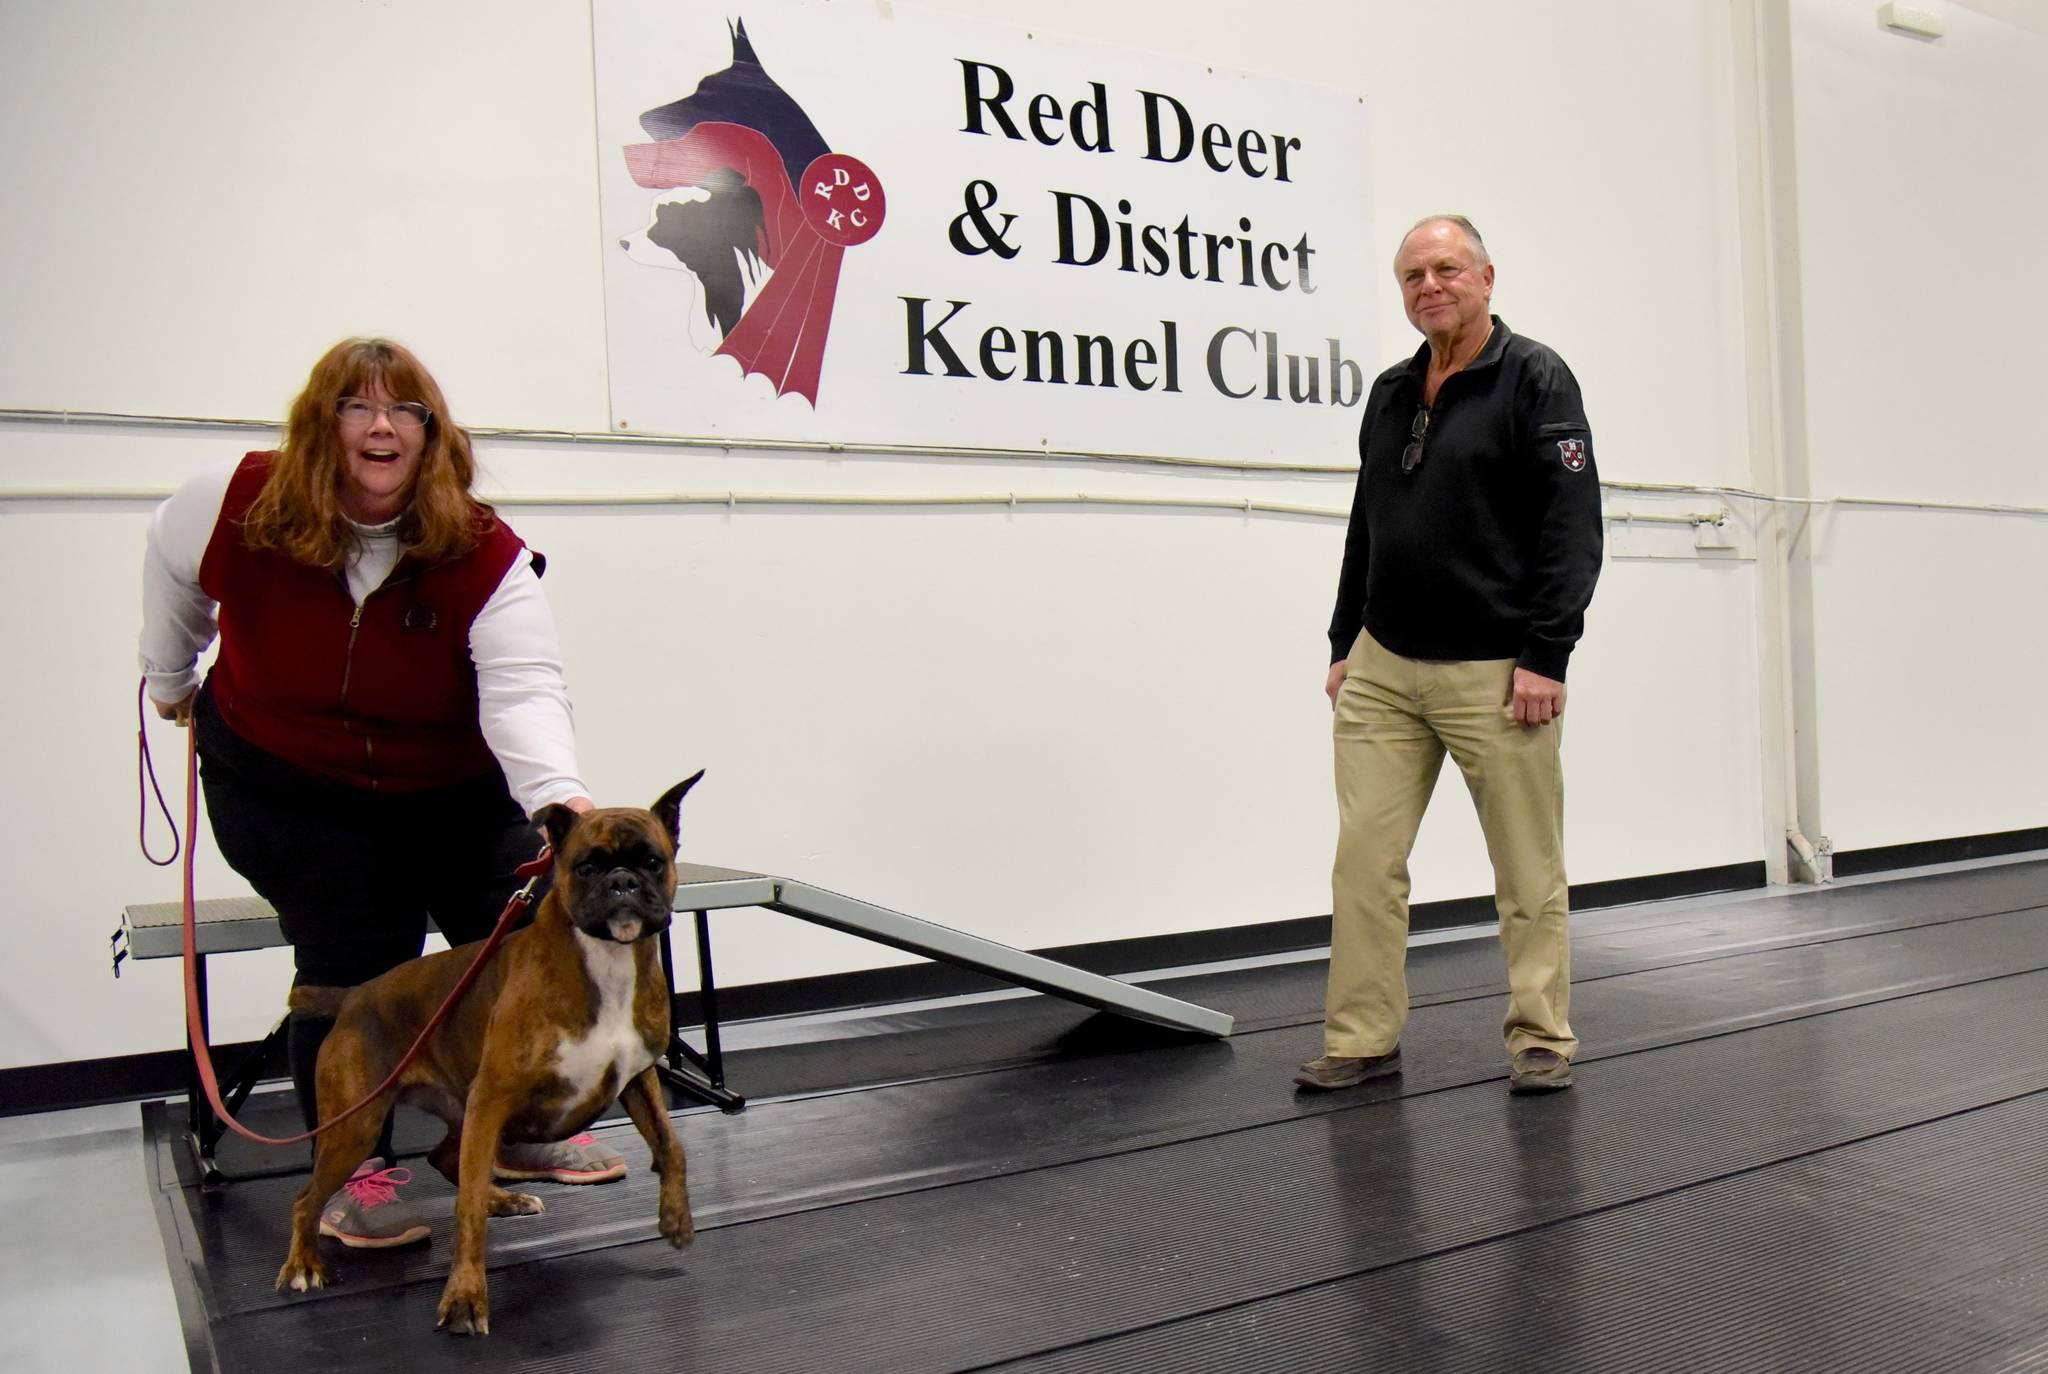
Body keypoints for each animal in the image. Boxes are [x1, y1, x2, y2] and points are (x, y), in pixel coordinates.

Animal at [276, 778, 704, 1335]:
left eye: (652, 861)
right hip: (359, 1128)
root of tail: (353, 996)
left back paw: (506, 1197)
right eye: (587, 866)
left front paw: (676, 1218)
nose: (623, 882)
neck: (606, 960)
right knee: (308, 1199)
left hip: (461, 1112)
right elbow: (468, 1213)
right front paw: (464, 1297)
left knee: (449, 1162)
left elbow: (672, 1145)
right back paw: (304, 1264)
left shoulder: (638, 1077)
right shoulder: (494, 1095)